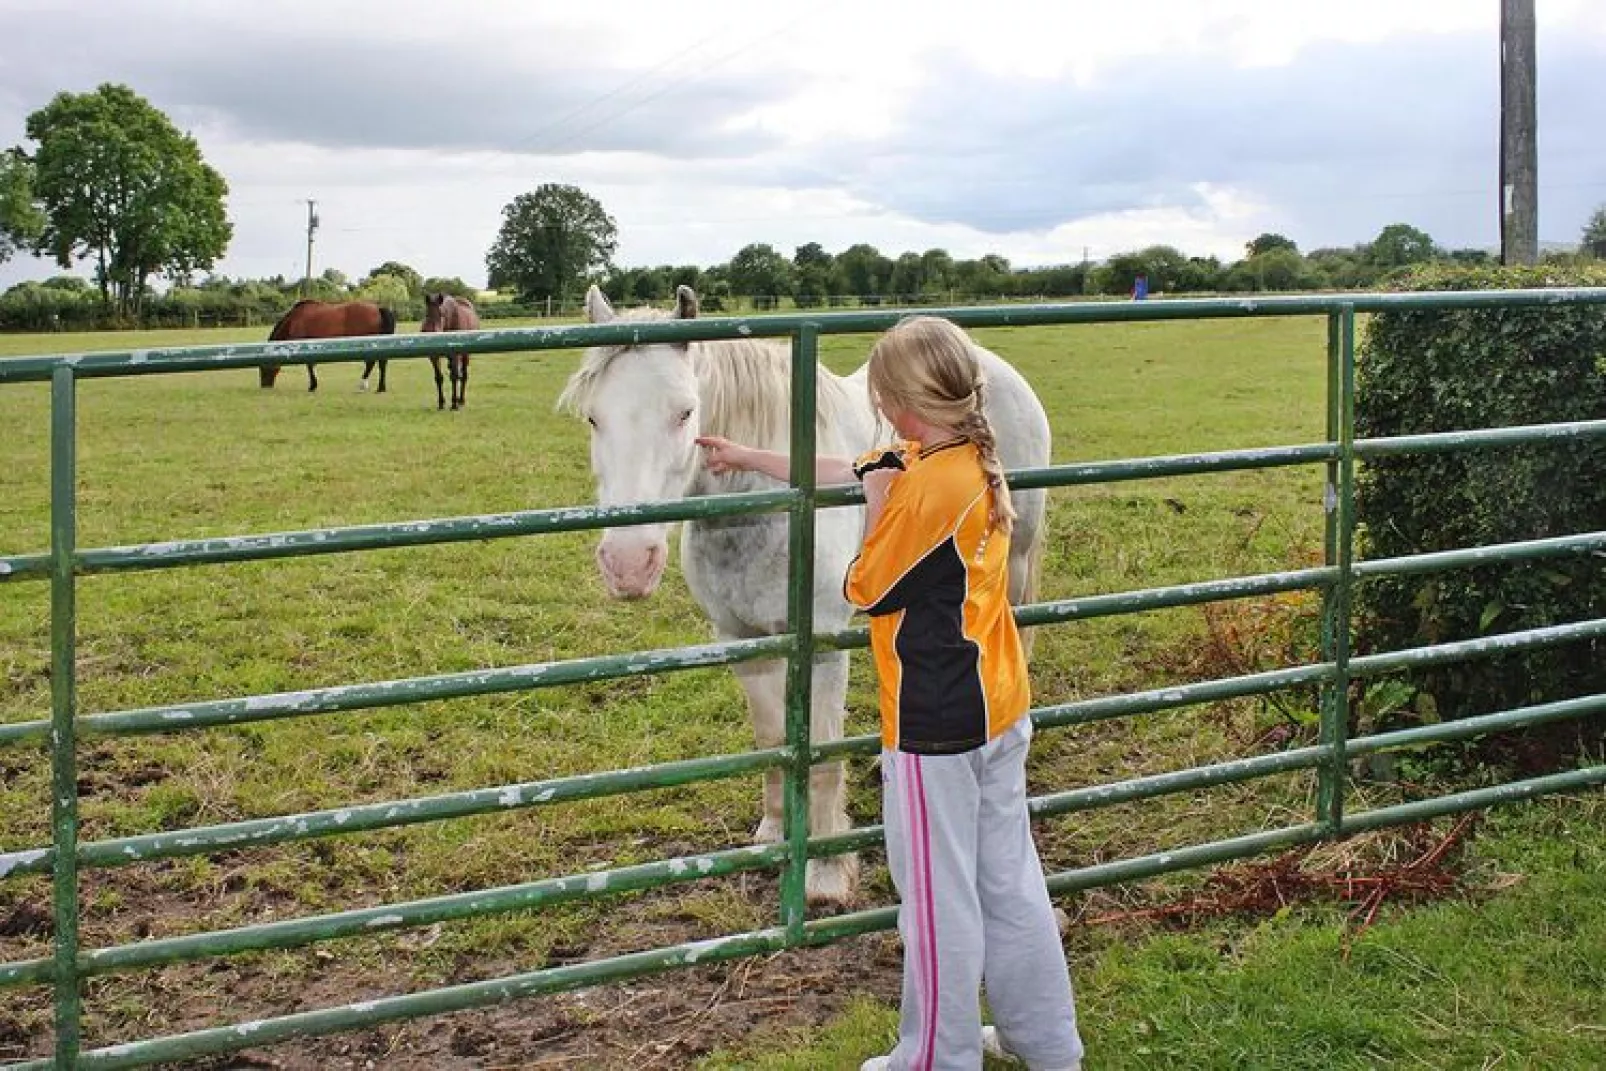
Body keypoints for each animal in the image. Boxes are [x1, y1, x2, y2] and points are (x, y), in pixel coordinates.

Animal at [258, 301, 396, 393]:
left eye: (263, 368)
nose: (265, 386)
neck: (294, 320)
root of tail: (378, 308)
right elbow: (312, 365)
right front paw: (314, 384)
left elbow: (310, 365)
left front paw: (312, 386)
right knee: (380, 363)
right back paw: (380, 388)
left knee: (371, 363)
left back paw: (364, 385)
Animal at [555, 284, 1053, 905]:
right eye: (594, 417)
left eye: (685, 412)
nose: (627, 564)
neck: (765, 505)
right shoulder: (744, 641)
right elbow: (772, 737)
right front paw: (772, 831)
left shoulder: (821, 648)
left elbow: (821, 759)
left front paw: (828, 872)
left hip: (1014, 562)